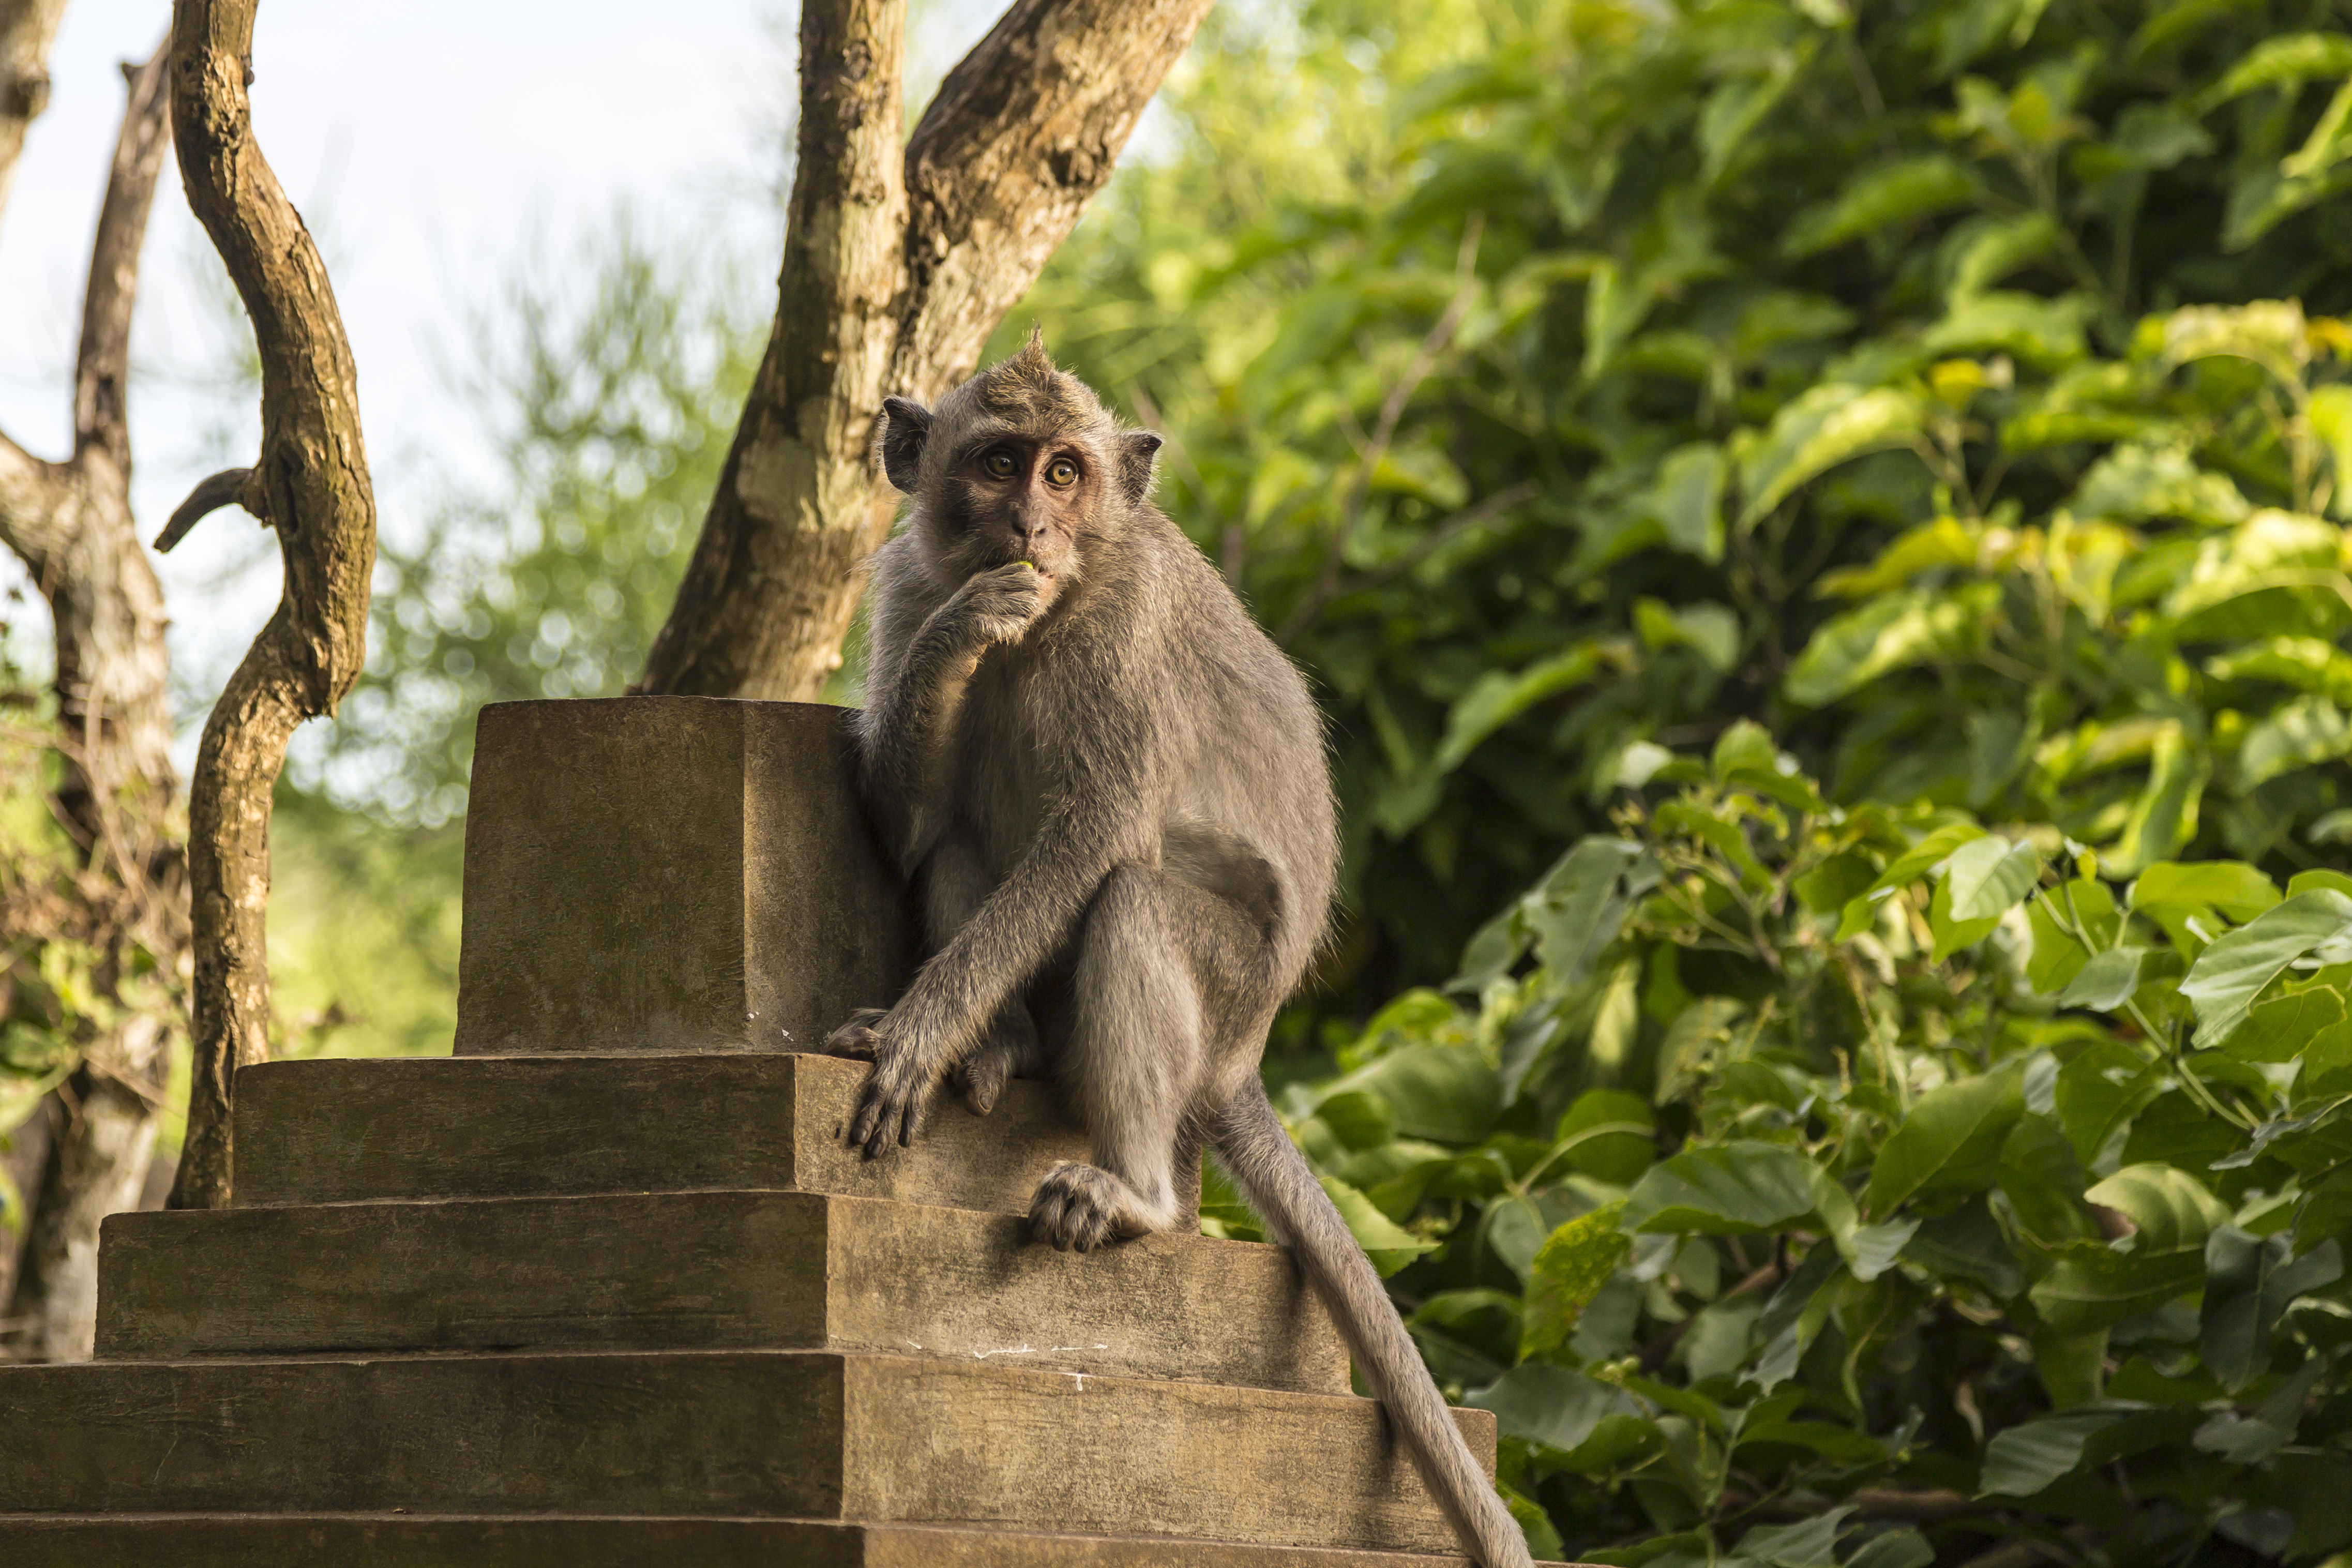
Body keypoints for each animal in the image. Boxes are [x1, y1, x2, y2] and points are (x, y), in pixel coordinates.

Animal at [821, 332, 1533, 1568]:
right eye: (999, 462)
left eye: (1066, 473)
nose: (1032, 529)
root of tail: (1244, 1057)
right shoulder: (906, 585)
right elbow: (907, 820)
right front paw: (971, 624)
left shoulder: (1125, 626)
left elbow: (1102, 829)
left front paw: (916, 1035)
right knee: (960, 835)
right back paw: (1001, 1043)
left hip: (1232, 986)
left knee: (1136, 902)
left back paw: (1138, 1195)